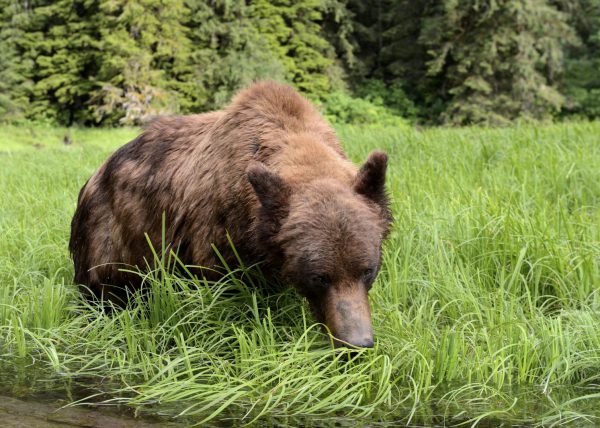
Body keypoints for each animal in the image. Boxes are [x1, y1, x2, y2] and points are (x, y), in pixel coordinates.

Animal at [70, 80, 392, 348]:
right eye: (320, 277)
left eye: (367, 270)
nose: (358, 342)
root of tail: (96, 172)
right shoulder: (214, 237)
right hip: (112, 235)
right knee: (105, 289)